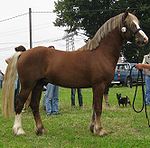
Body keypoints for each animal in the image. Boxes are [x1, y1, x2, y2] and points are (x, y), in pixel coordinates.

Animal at [1, 11, 148, 136]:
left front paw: (93, 128)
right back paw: (19, 130)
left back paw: (40, 129)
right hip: (28, 85)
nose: (145, 39)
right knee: (19, 103)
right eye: (131, 24)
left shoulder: (96, 87)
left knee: (34, 105)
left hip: (38, 85)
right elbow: (98, 108)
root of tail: (24, 53)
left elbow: (94, 107)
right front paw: (100, 130)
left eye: (138, 23)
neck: (101, 53)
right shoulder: (99, 85)